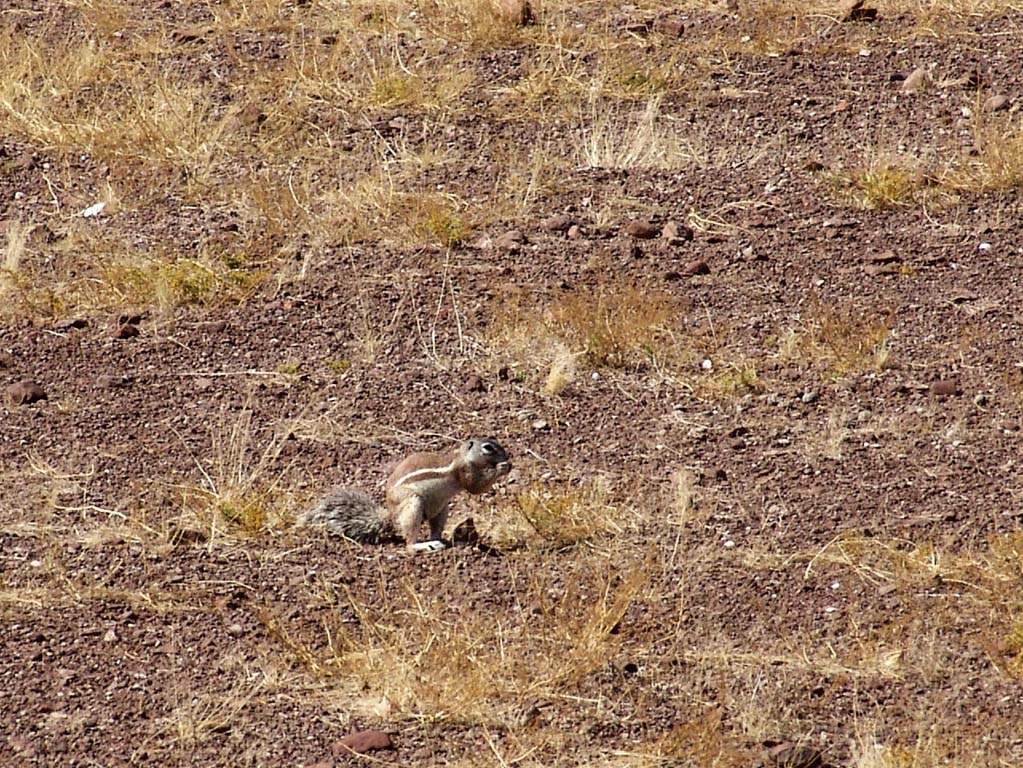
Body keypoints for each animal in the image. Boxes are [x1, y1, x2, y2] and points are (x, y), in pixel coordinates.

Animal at [300, 437, 511, 552]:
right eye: (488, 448)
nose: (508, 457)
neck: (463, 456)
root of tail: (392, 516)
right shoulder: (464, 471)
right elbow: (475, 487)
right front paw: (502, 467)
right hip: (412, 504)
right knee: (409, 544)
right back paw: (423, 546)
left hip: (441, 509)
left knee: (435, 530)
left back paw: (445, 541)